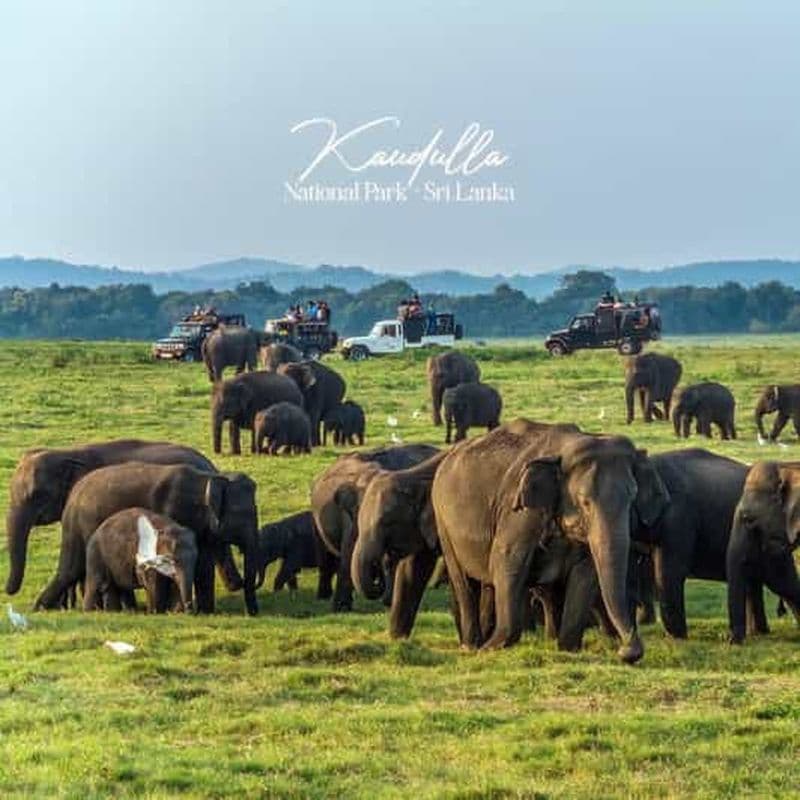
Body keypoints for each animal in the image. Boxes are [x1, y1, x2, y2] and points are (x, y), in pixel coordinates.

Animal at [34, 462, 259, 615]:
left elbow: (203, 564)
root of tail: (73, 493)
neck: (209, 479)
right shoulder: (175, 512)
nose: (252, 615)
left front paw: (205, 613)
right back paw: (43, 608)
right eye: (244, 513)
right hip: (79, 527)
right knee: (71, 570)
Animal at [310, 444, 439, 612]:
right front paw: (341, 608)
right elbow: (349, 554)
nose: (377, 581)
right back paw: (323, 596)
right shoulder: (350, 518)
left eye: (387, 520)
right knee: (325, 556)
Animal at [430, 418, 669, 662]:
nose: (626, 651)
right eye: (585, 502)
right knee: (463, 581)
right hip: (442, 519)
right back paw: (470, 646)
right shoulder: (518, 513)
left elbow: (585, 573)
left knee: (493, 584)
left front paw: (568, 649)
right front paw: (491, 648)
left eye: (632, 499)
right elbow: (507, 560)